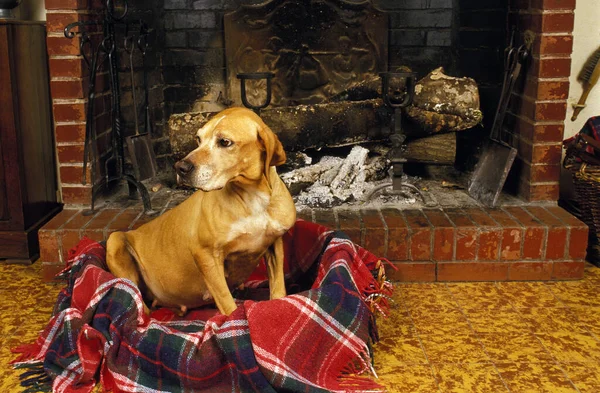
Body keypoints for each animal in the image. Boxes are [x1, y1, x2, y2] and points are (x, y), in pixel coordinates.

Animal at [107, 106, 298, 316]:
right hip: (115, 240)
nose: (180, 167)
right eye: (198, 139)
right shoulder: (206, 255)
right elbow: (227, 303)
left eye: (224, 142)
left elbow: (278, 287)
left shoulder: (274, 244)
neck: (251, 196)